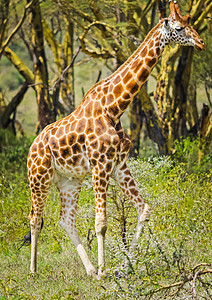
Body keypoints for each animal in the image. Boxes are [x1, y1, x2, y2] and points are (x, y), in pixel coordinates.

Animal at [26, 0, 205, 276]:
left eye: (191, 24)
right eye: (178, 28)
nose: (201, 43)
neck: (115, 107)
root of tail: (31, 148)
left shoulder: (119, 164)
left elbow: (144, 209)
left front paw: (125, 265)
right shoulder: (100, 165)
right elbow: (101, 222)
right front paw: (105, 271)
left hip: (69, 181)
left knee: (65, 219)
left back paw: (88, 270)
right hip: (39, 178)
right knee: (36, 218)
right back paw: (35, 271)